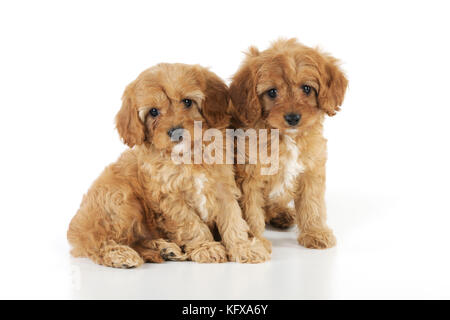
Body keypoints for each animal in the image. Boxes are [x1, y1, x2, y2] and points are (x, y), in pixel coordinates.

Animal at [68, 62, 268, 268]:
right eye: (153, 112)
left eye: (187, 102)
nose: (175, 132)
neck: (189, 157)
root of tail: (76, 230)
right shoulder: (171, 199)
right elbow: (191, 223)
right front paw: (207, 247)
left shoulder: (222, 188)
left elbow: (233, 218)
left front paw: (244, 247)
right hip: (121, 201)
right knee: (100, 243)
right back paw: (120, 255)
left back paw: (165, 250)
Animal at [229, 38, 348, 250]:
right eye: (272, 92)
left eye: (307, 88)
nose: (293, 117)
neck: (286, 137)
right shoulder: (249, 178)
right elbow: (251, 213)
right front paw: (255, 241)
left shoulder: (311, 171)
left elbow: (312, 203)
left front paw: (315, 232)